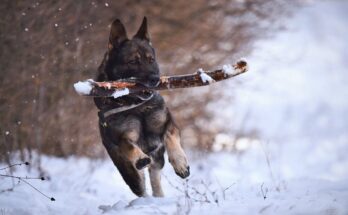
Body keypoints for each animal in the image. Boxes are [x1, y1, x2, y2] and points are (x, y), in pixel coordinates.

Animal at [94, 17, 189, 197]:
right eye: (133, 61)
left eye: (151, 60)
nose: (155, 79)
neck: (136, 106)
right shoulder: (122, 138)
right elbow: (129, 145)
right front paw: (140, 157)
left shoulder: (169, 123)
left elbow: (170, 137)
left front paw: (180, 163)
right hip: (130, 174)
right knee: (141, 186)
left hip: (158, 160)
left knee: (155, 178)